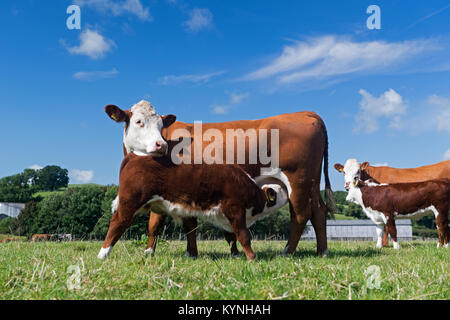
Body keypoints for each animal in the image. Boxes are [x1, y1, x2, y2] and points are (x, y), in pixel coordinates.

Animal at [98, 152, 288, 260]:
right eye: (277, 192)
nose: (286, 190)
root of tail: (136, 156)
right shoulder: (235, 209)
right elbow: (244, 235)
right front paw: (252, 257)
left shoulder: (226, 216)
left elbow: (231, 236)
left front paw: (236, 255)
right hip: (129, 203)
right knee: (117, 223)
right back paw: (103, 254)